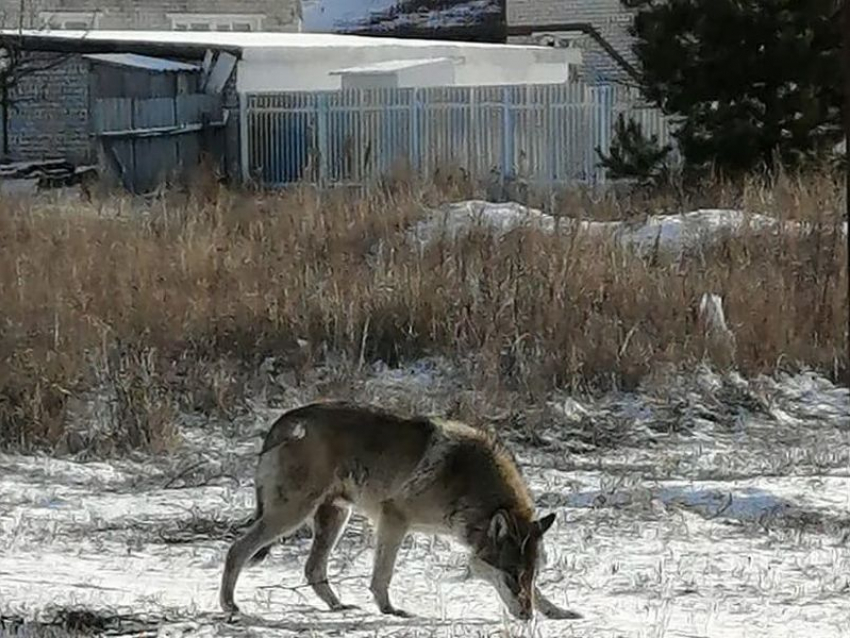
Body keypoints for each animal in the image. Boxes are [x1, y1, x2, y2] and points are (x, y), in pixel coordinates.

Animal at [219, 402, 580, 624]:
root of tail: (286, 418)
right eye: (511, 576)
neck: (468, 484)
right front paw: (390, 611)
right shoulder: (394, 519)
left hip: (334, 517)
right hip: (292, 515)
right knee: (236, 550)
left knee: (312, 569)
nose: (527, 617)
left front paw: (557, 612)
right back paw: (230, 606)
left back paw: (339, 607)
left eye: (528, 575)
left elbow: (542, 594)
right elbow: (383, 575)